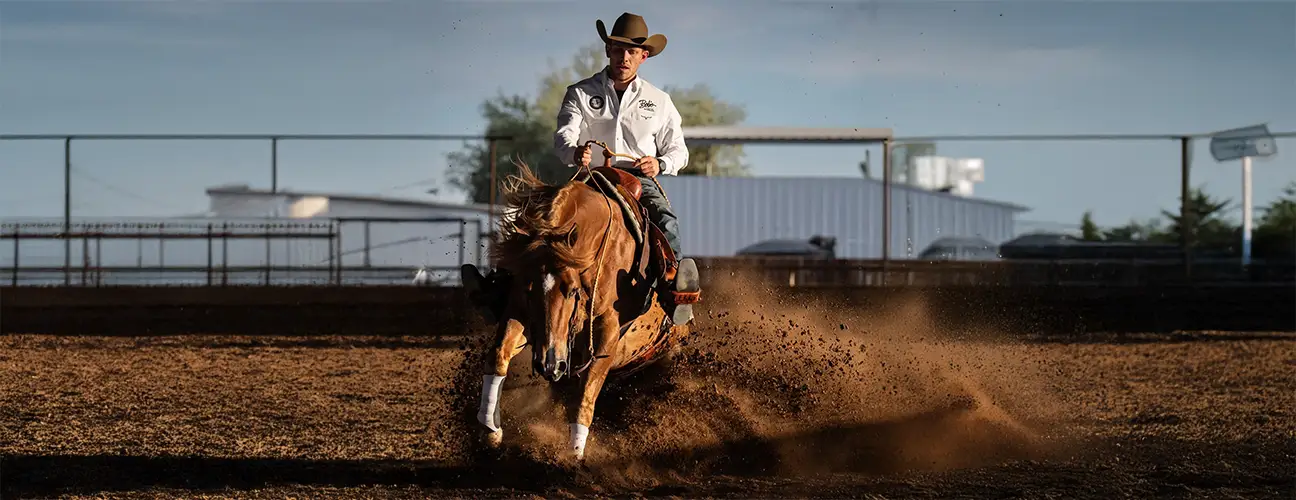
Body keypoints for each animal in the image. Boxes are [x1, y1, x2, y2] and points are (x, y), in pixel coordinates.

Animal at [471, 141, 702, 461]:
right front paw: (490, 430)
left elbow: (585, 393)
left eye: (572, 291)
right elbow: (498, 355)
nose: (549, 365)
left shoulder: (607, 330)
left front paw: (573, 456)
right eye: (529, 289)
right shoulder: (519, 310)